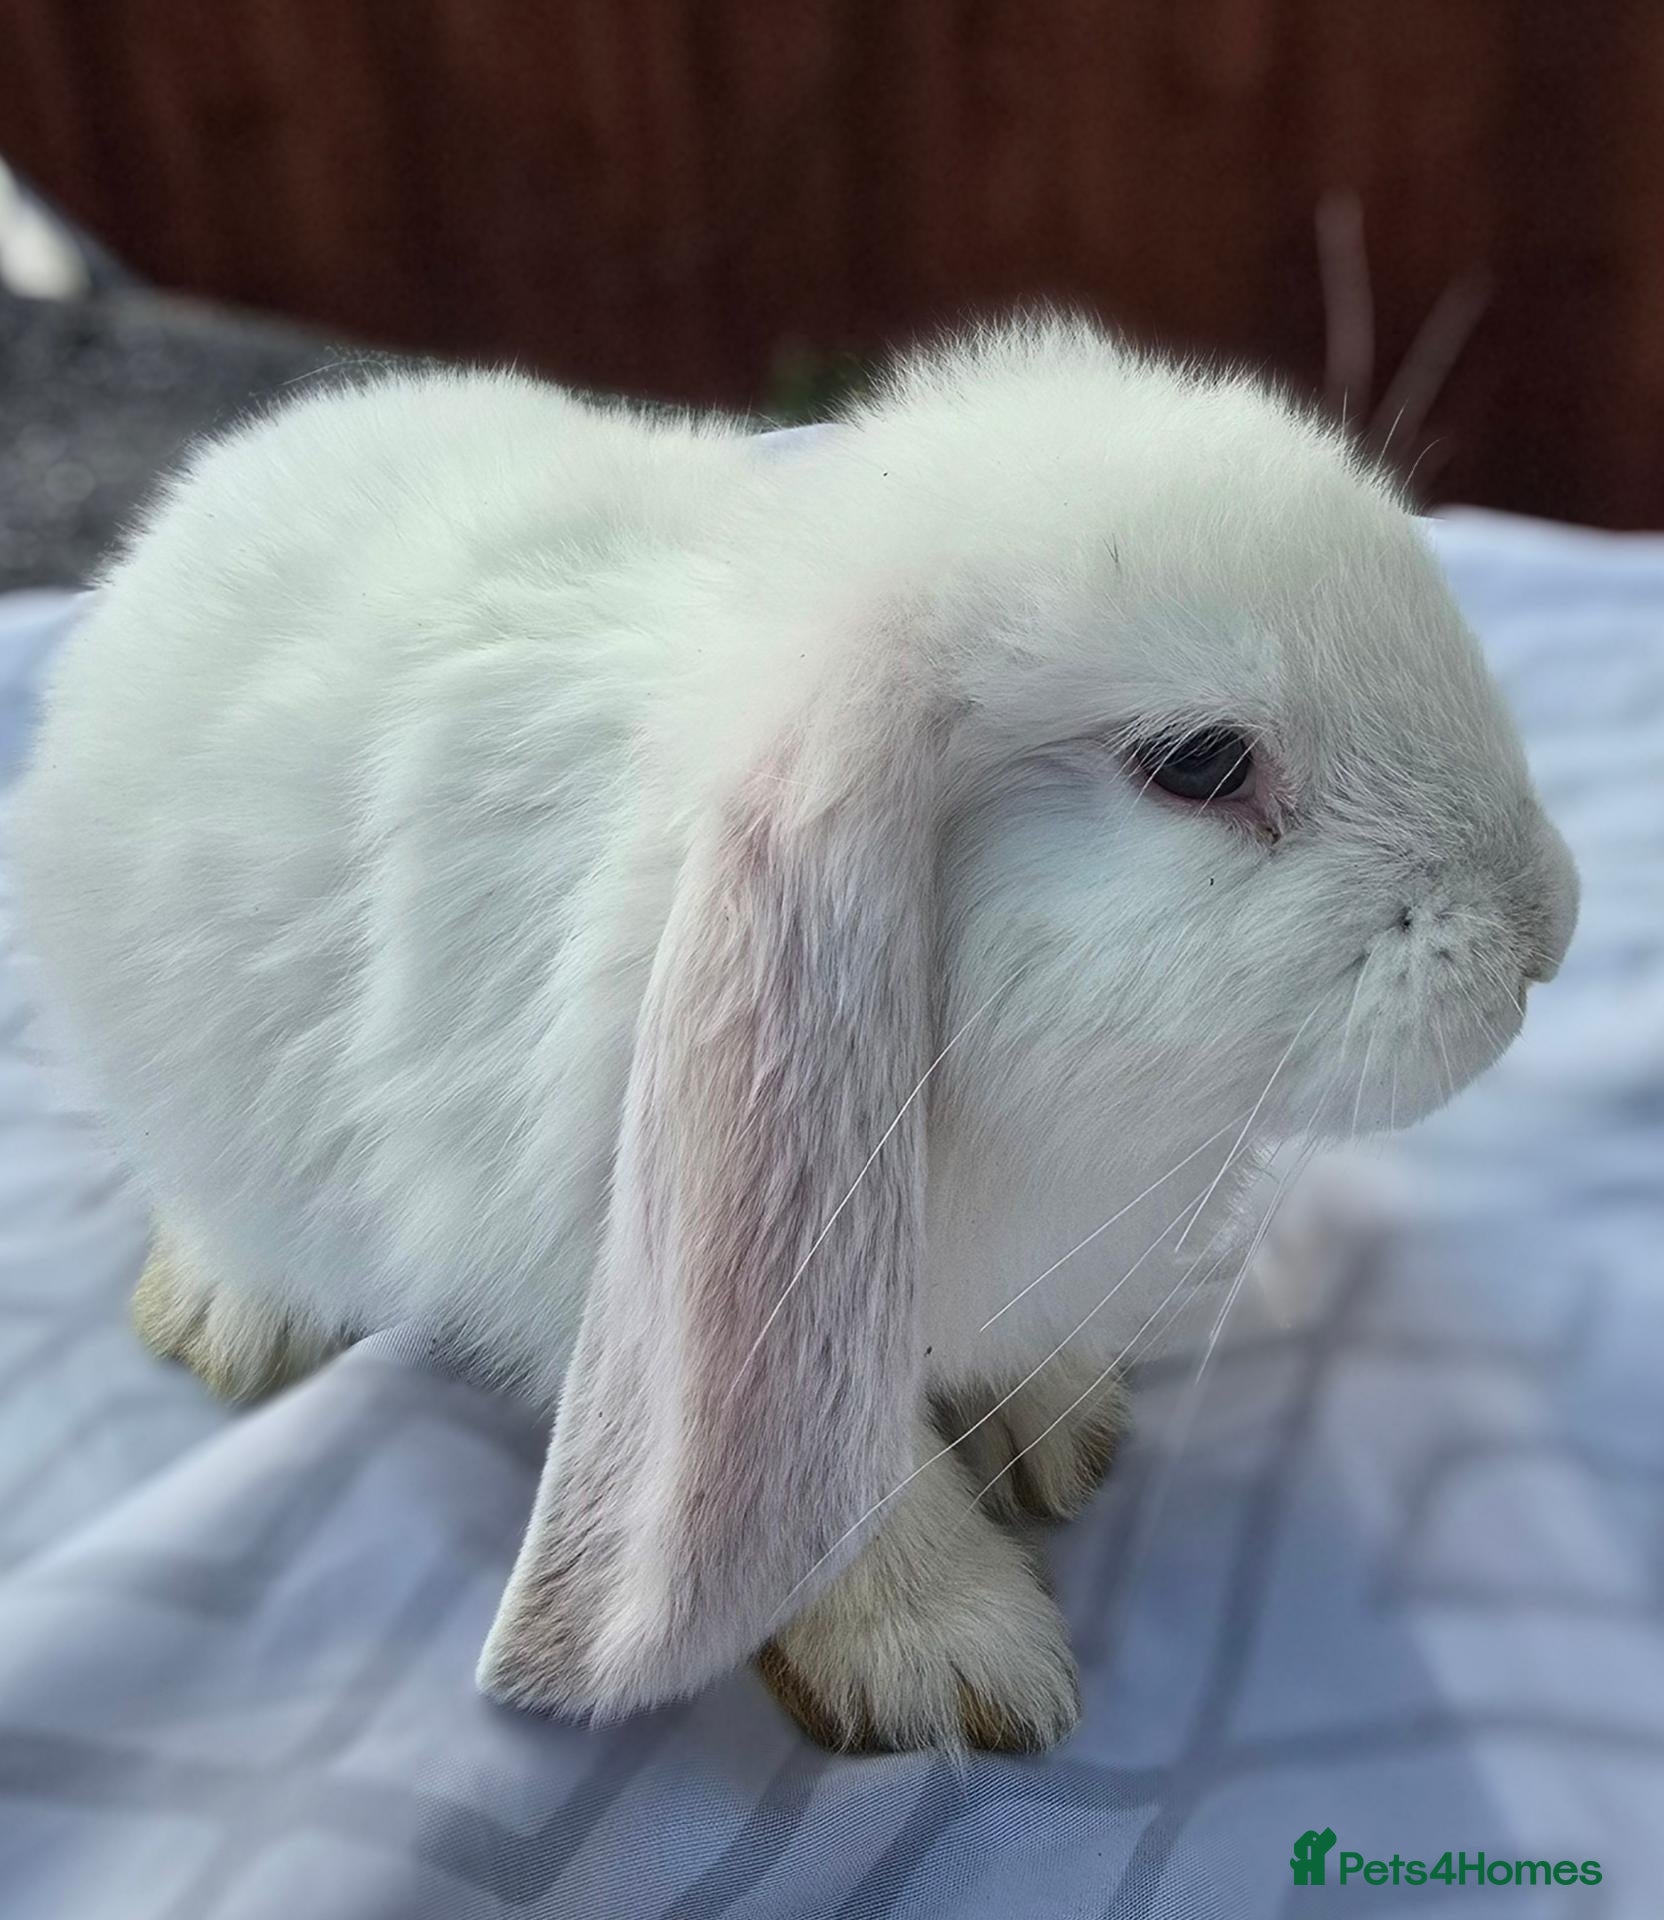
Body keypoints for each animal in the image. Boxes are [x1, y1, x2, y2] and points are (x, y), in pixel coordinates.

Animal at [11, 316, 1578, 1754]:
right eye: (1196, 764)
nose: (1549, 929)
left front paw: (1054, 1424)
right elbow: (830, 1477)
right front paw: (950, 1661)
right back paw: (228, 1316)